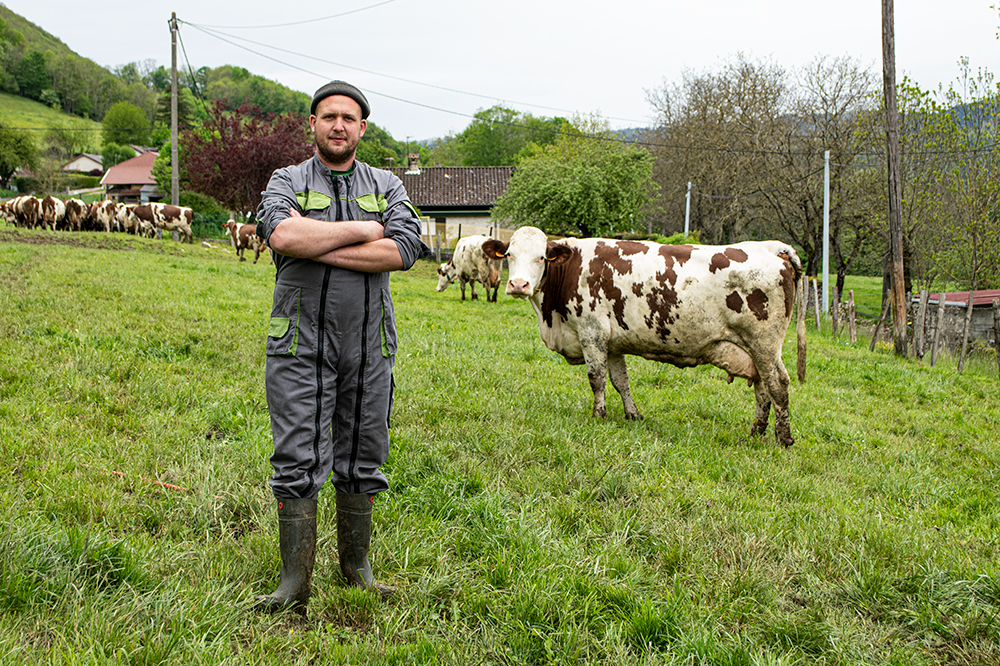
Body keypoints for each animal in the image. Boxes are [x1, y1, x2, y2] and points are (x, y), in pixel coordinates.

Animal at [480, 226, 800, 448]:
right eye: (509, 255)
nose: (518, 285)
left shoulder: (591, 332)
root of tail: (773, 248)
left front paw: (599, 416)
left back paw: (783, 439)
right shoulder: (612, 343)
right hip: (754, 349)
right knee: (762, 388)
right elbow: (620, 381)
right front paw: (632, 414)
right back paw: (756, 431)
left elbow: (596, 378)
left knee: (778, 384)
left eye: (541, 257)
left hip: (765, 343)